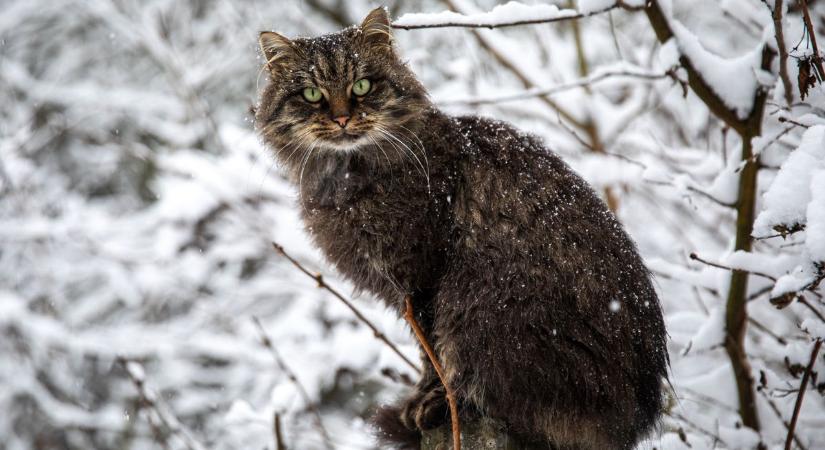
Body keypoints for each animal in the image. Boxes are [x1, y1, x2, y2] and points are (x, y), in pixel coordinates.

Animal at [256, 7, 668, 450]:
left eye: (362, 85)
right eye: (311, 94)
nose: (342, 117)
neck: (345, 177)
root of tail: (632, 422)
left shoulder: (422, 277)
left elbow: (431, 354)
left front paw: (429, 397)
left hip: (484, 301)